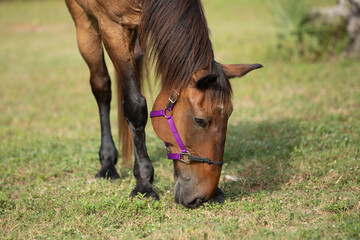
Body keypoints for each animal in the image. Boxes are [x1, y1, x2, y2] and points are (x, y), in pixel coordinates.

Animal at [65, 0, 262, 208]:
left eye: (228, 117)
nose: (202, 196)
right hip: (84, 21)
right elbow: (135, 105)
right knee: (101, 85)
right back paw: (108, 164)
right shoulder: (112, 27)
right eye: (200, 120)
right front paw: (144, 184)